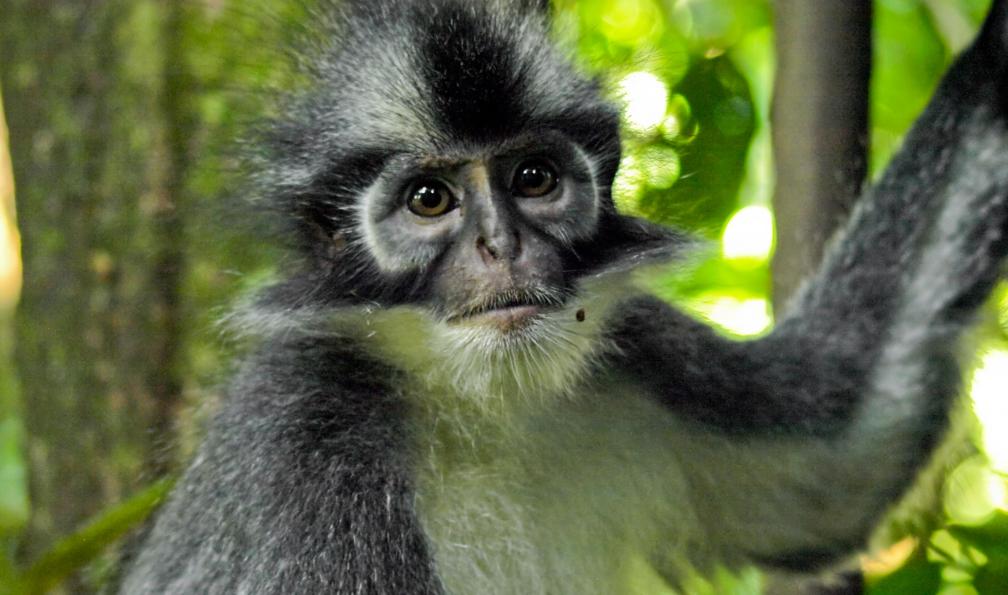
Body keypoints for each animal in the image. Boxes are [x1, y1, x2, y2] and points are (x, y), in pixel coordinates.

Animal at [120, 0, 1008, 593]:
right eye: (430, 199)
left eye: (534, 178)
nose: (503, 246)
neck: (476, 407)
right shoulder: (308, 439)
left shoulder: (636, 349)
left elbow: (843, 461)